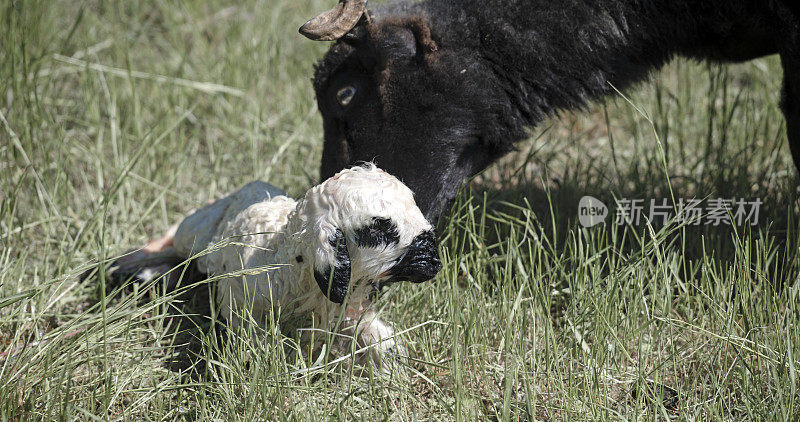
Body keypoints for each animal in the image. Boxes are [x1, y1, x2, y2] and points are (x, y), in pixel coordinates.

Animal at [105, 163, 440, 368]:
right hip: (196, 230)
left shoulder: (345, 305)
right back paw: (129, 266)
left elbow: (370, 331)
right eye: (379, 228)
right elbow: (254, 341)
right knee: (175, 237)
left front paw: (393, 360)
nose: (434, 258)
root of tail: (251, 185)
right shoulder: (239, 304)